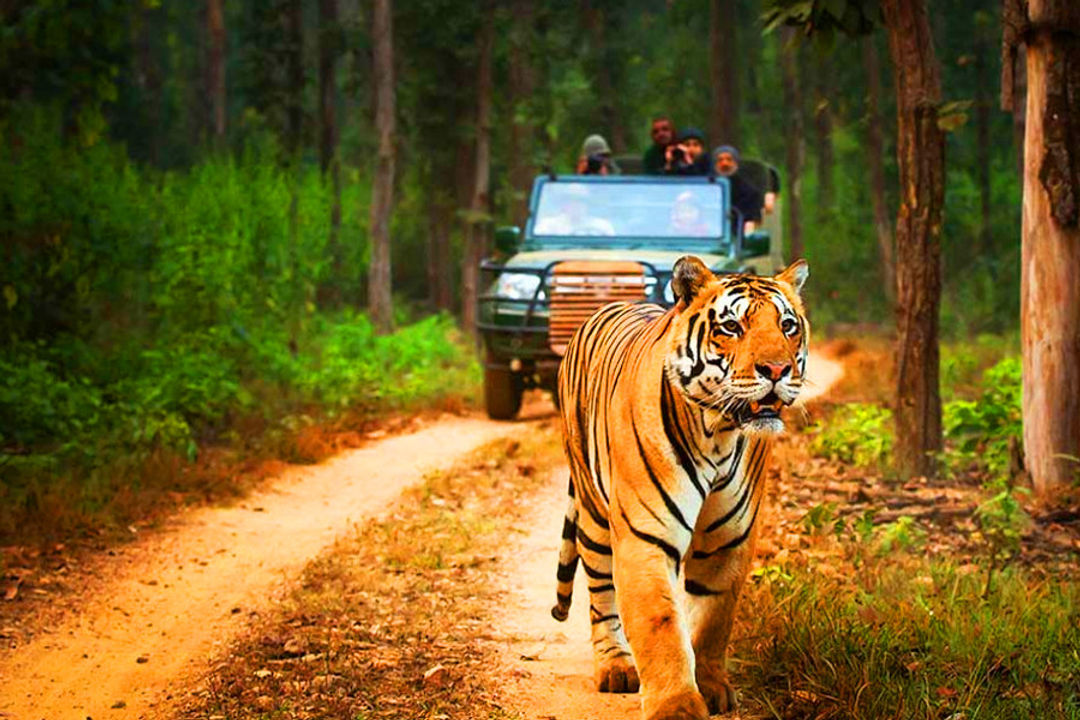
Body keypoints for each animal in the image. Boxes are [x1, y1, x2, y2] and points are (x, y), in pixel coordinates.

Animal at [552, 254, 807, 720]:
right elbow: (659, 621)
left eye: (787, 325)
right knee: (601, 593)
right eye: (732, 327)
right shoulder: (646, 535)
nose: (778, 370)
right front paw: (677, 706)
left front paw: (711, 687)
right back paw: (615, 667)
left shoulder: (728, 540)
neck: (719, 432)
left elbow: (711, 619)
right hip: (594, 514)